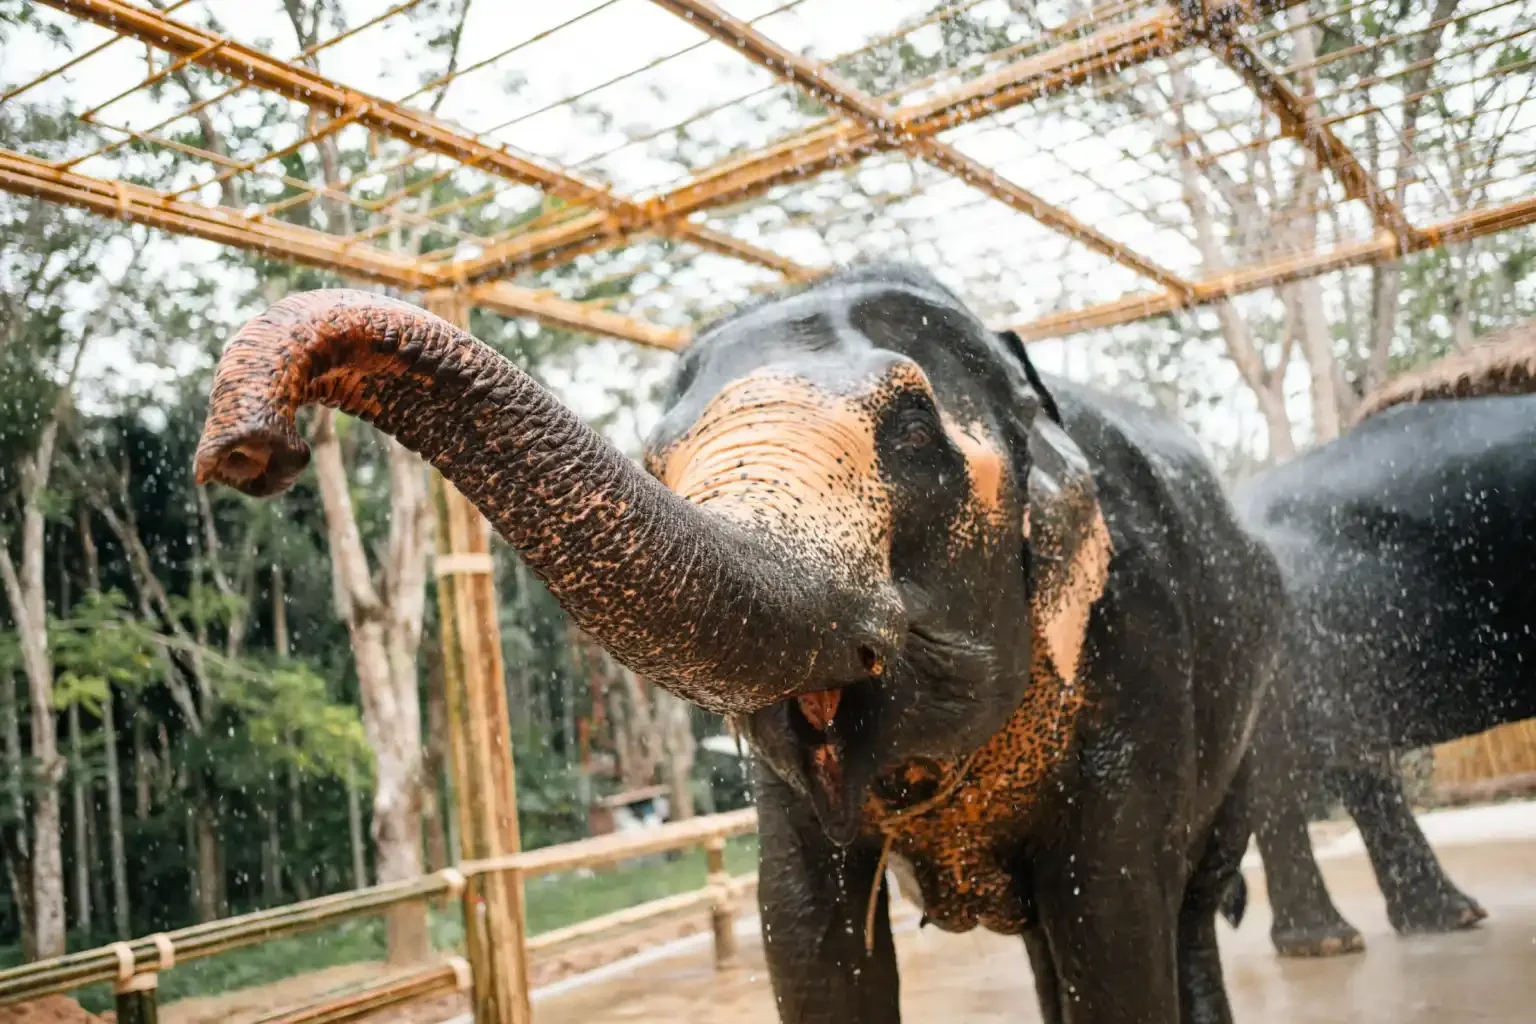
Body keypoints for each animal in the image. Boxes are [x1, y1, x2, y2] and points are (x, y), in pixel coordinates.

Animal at [194, 263, 1285, 1024]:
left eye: (912, 432)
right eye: (656, 458)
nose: (246, 449)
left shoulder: (1141, 653)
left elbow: (1113, 919)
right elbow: (802, 933)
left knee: (1185, 911)